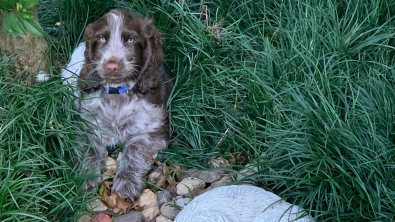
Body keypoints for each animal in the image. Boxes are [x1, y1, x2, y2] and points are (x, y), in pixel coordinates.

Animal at [62, 9, 173, 199]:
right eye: (101, 39)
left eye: (130, 40)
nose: (112, 66)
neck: (116, 93)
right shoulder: (86, 124)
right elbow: (90, 150)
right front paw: (87, 178)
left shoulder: (152, 129)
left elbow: (134, 151)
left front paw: (126, 184)